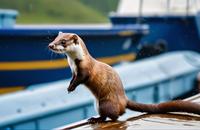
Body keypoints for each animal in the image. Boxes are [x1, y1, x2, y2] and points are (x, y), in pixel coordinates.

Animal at [48, 32, 200, 123]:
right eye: (54, 38)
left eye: (63, 41)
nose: (50, 45)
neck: (73, 63)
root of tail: (124, 99)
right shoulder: (73, 72)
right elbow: (72, 79)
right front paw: (69, 87)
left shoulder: (85, 71)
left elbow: (81, 79)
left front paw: (72, 88)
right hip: (96, 103)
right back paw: (94, 118)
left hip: (104, 103)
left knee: (114, 115)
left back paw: (98, 119)